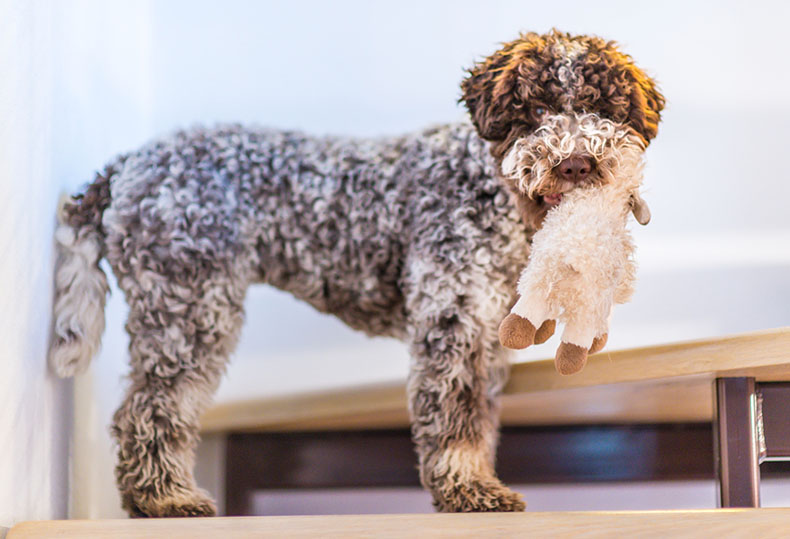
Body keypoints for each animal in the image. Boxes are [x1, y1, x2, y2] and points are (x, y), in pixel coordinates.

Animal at [51, 30, 664, 520]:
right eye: (535, 111)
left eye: (604, 110)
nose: (577, 163)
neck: (486, 187)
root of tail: (128, 165)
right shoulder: (452, 316)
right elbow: (454, 415)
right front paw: (467, 490)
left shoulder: (488, 330)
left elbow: (480, 418)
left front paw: (477, 482)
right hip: (189, 305)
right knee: (150, 408)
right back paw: (164, 499)